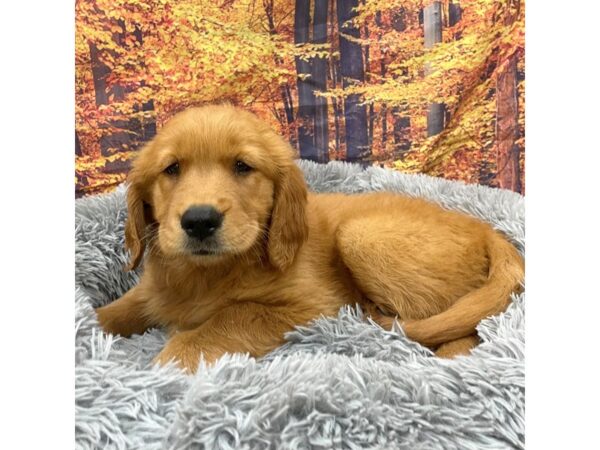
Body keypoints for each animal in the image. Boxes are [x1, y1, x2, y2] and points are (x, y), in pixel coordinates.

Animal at [96, 104, 524, 372]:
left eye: (242, 167)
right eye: (171, 169)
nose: (200, 221)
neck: (206, 274)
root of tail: (487, 229)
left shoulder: (314, 307)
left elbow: (231, 316)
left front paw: (172, 360)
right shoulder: (152, 290)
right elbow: (119, 309)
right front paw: (92, 324)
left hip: (361, 236)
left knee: (462, 327)